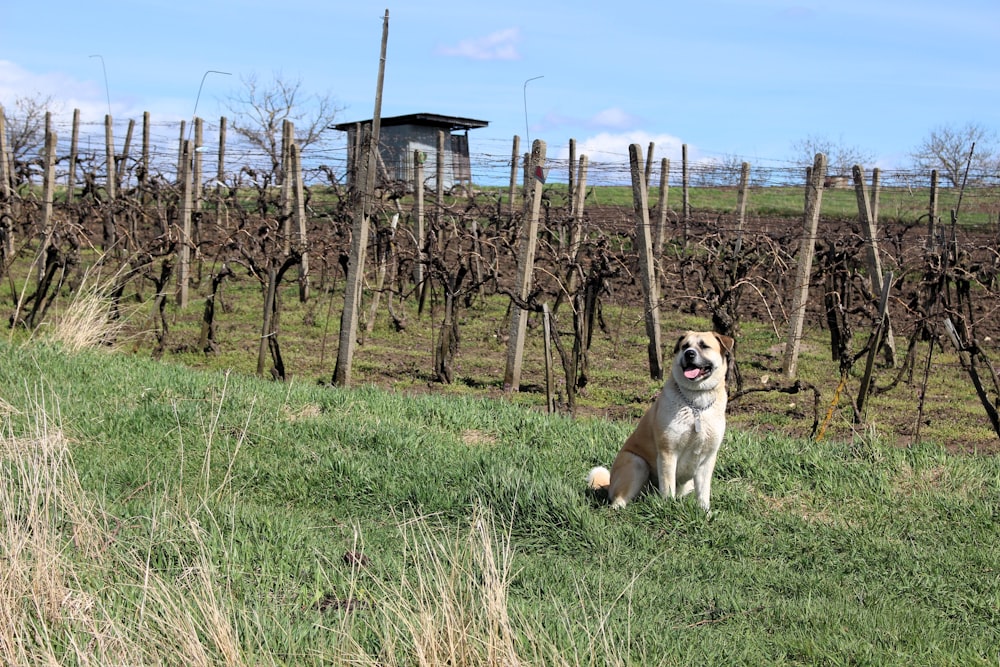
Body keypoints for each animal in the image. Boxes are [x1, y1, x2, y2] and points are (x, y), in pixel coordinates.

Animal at [584, 332, 736, 516]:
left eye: (704, 345)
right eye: (685, 346)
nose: (689, 354)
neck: (696, 404)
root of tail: (610, 483)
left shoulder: (707, 458)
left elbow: (703, 492)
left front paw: (705, 513)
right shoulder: (668, 452)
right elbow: (668, 485)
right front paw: (669, 507)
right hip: (637, 463)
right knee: (618, 500)